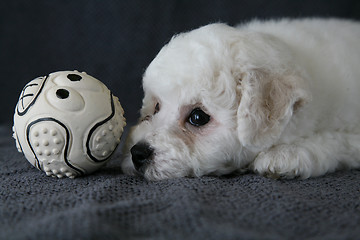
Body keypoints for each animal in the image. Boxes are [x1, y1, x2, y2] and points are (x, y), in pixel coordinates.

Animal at [121, 18, 360, 180]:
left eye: (198, 117)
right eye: (156, 107)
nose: (138, 153)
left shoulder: (351, 136)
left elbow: (333, 140)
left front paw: (286, 154)